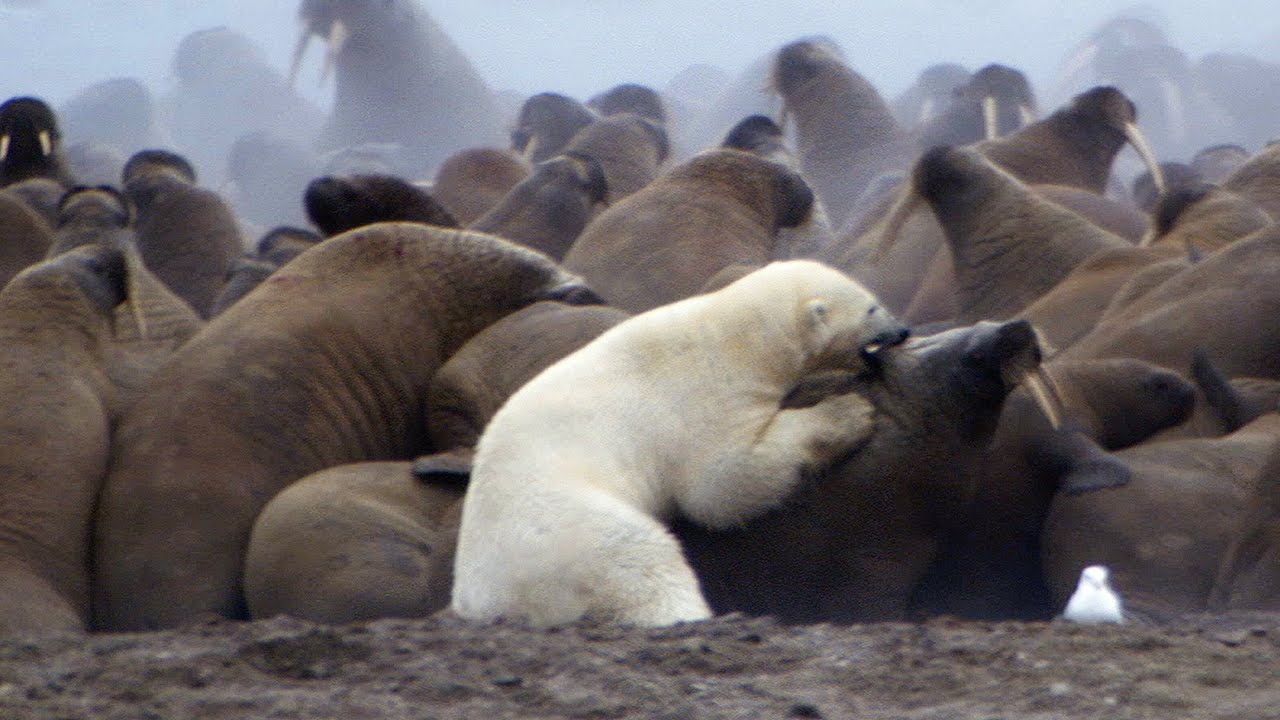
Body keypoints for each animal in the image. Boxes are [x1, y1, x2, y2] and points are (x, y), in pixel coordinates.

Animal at [453, 257, 911, 622]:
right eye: (872, 306)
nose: (903, 330)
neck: (736, 337)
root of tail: (482, 599)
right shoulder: (700, 397)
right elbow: (721, 485)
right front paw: (850, 412)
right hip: (561, 531)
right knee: (638, 557)